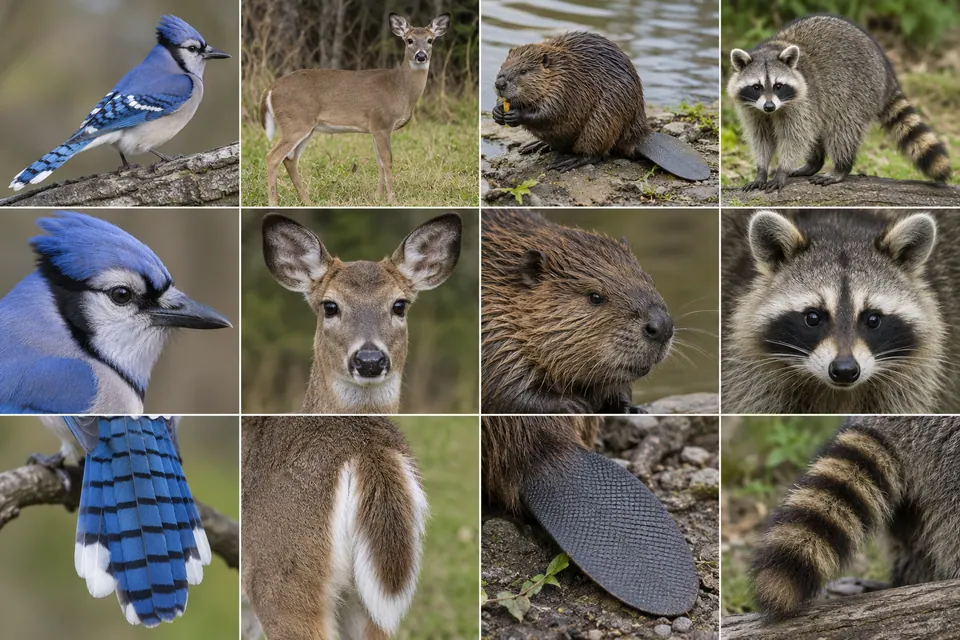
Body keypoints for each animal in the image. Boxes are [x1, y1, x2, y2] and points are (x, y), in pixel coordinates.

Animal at [259, 12, 451, 206]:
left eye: (430, 40)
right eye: (409, 40)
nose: (421, 56)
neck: (400, 89)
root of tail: (271, 88)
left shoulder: (375, 127)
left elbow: (379, 162)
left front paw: (378, 197)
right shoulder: (382, 123)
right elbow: (387, 161)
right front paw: (392, 199)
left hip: (306, 128)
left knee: (290, 160)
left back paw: (307, 201)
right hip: (296, 122)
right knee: (272, 157)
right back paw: (274, 201)